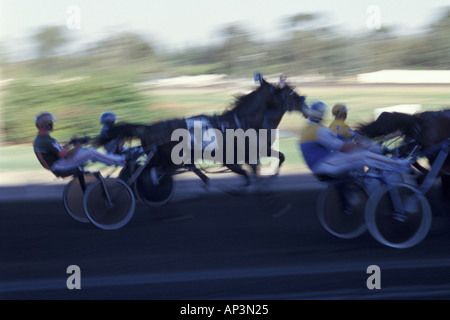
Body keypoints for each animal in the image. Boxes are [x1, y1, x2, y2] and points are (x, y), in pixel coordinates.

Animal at [95, 77, 310, 185]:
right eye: (288, 93)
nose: (304, 102)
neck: (243, 122)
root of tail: (148, 128)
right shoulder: (239, 156)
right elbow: (250, 173)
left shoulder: (257, 150)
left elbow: (279, 157)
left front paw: (272, 175)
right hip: (165, 158)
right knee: (150, 174)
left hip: (164, 158)